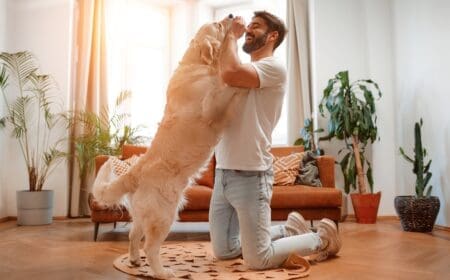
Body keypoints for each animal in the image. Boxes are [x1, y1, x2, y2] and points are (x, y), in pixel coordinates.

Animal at [92, 15, 244, 280]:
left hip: (144, 214)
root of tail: (135, 171)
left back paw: (134, 260)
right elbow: (226, 87)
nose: (232, 16)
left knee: (133, 235)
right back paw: (162, 271)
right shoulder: (211, 106)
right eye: (218, 25)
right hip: (165, 214)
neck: (197, 63)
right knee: (150, 247)